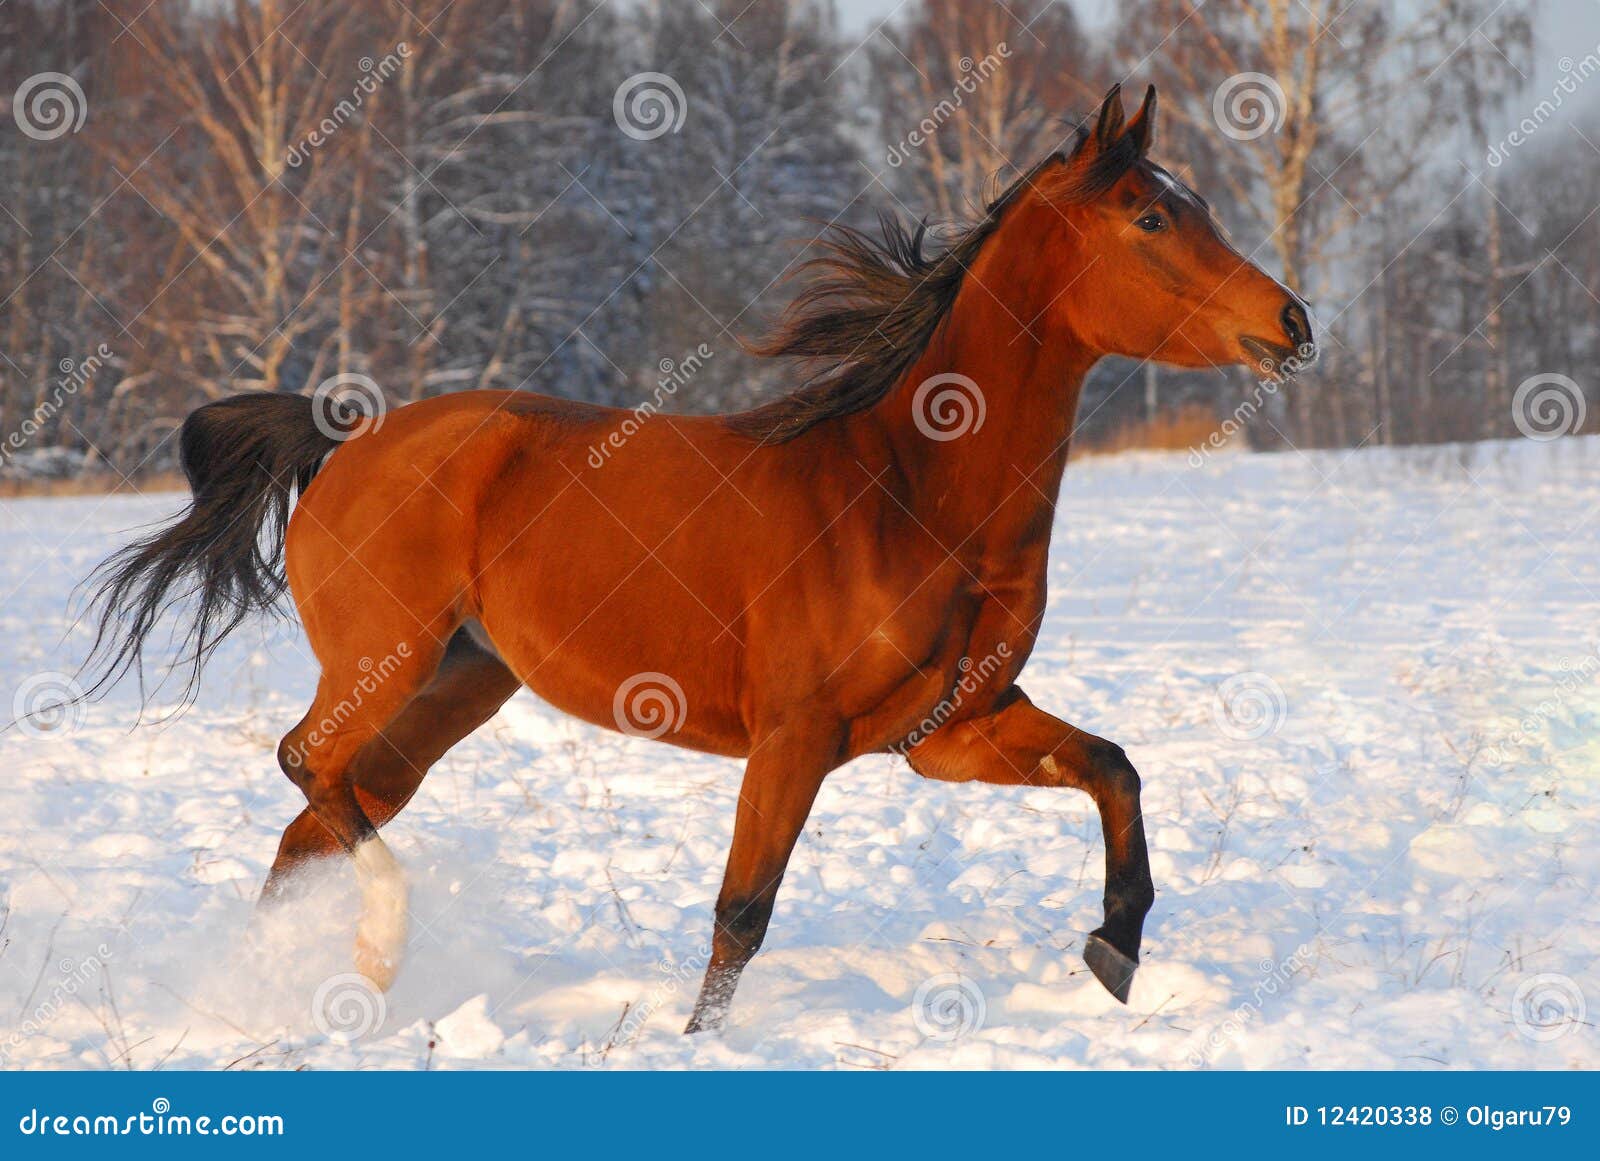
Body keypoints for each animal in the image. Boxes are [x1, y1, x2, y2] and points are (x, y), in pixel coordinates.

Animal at [81, 88, 1312, 1036]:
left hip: (457, 684)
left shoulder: (949, 732)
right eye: (1151, 214)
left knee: (316, 817)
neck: (910, 489)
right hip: (385, 662)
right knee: (307, 768)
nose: (1293, 322)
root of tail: (345, 436)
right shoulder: (796, 735)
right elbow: (741, 914)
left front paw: (1115, 950)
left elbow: (1114, 768)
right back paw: (377, 940)